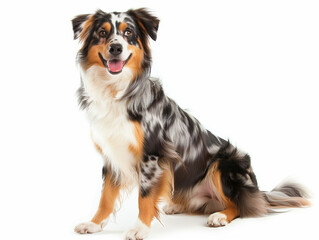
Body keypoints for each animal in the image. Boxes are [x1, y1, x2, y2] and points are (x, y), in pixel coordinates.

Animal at [72, 8, 310, 240]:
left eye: (128, 32)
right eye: (102, 33)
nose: (115, 47)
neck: (116, 90)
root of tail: (257, 190)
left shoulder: (151, 154)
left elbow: (145, 195)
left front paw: (140, 228)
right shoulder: (112, 155)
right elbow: (106, 196)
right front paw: (94, 224)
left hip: (224, 163)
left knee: (239, 205)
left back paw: (220, 216)